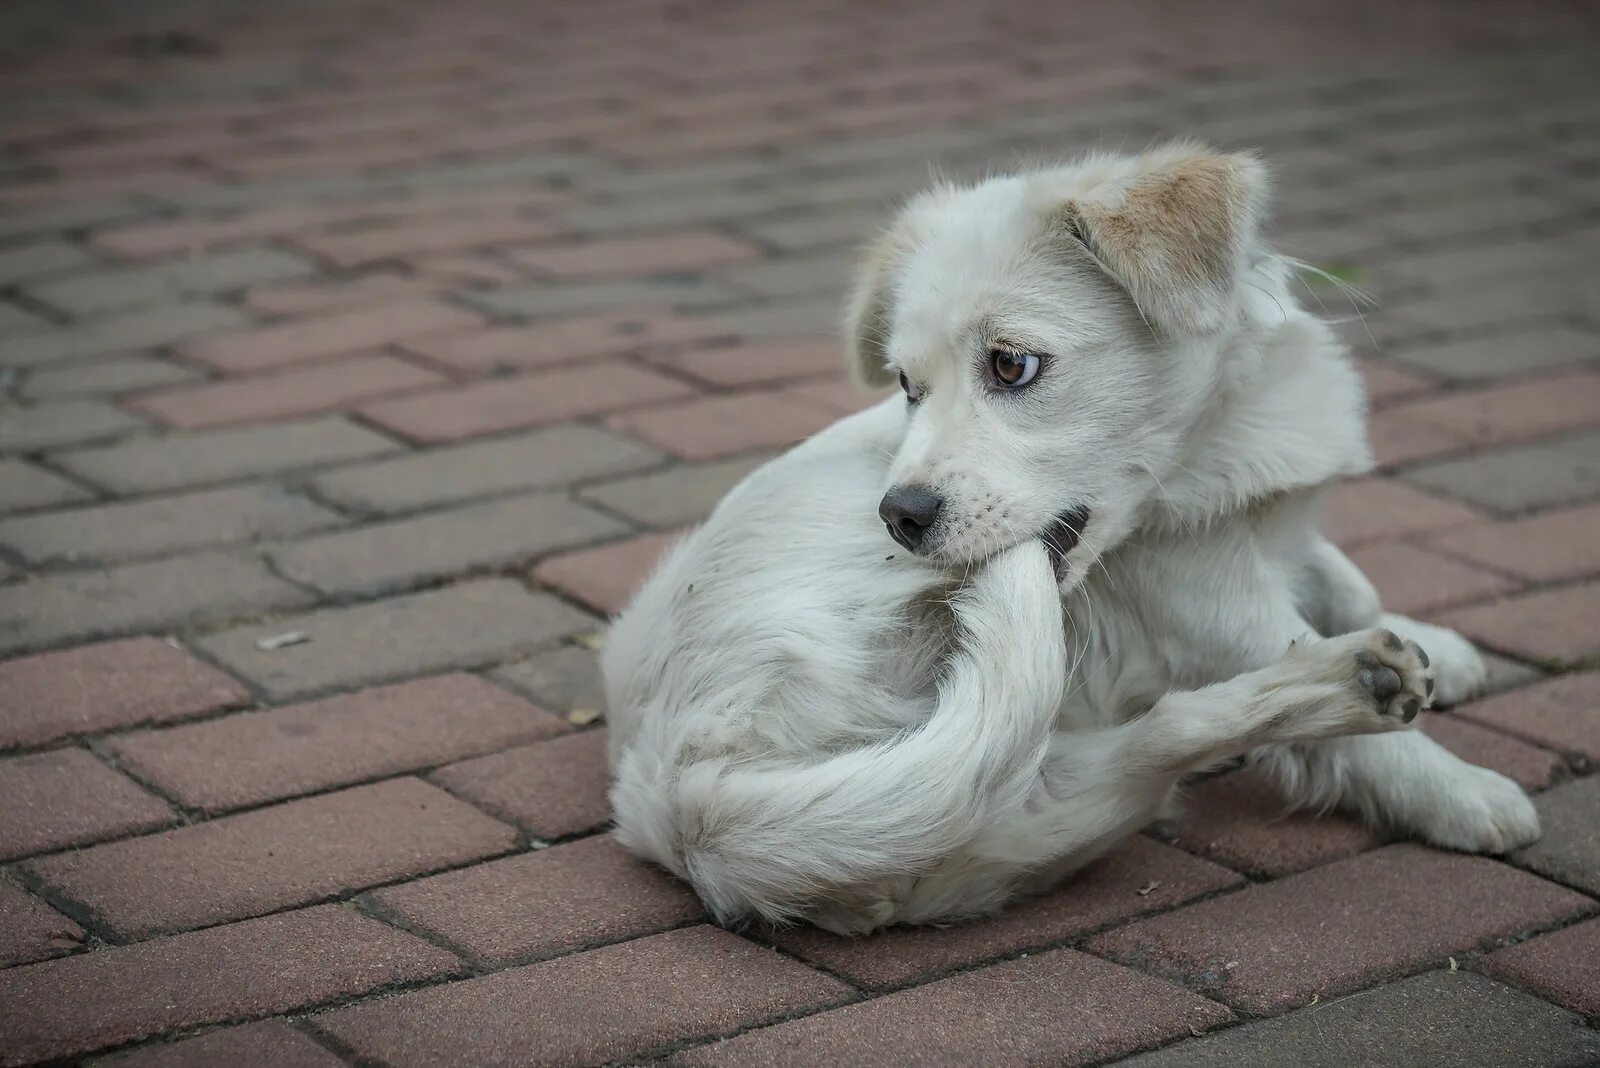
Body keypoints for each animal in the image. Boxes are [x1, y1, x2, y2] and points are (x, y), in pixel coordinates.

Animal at [601, 143, 1536, 933]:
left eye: (1011, 365)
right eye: (907, 385)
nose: (898, 516)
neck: (1210, 442)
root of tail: (678, 795)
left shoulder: (1275, 535)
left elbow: (1348, 580)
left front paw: (1439, 645)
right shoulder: (1209, 606)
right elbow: (1348, 700)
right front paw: (1459, 793)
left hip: (1041, 807)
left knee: (1156, 740)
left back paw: (1360, 676)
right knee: (1180, 719)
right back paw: (1356, 684)